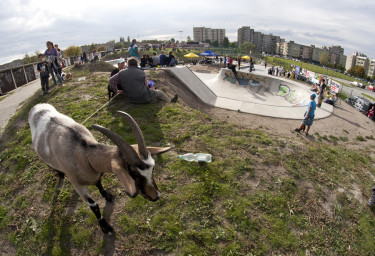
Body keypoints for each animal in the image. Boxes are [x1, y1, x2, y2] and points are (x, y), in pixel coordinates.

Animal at [27, 103, 170, 233]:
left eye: (152, 169)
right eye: (133, 173)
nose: (156, 196)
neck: (82, 151)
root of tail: (37, 106)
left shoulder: (95, 174)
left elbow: (98, 182)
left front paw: (107, 195)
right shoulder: (76, 184)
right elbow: (94, 205)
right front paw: (105, 227)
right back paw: (59, 173)